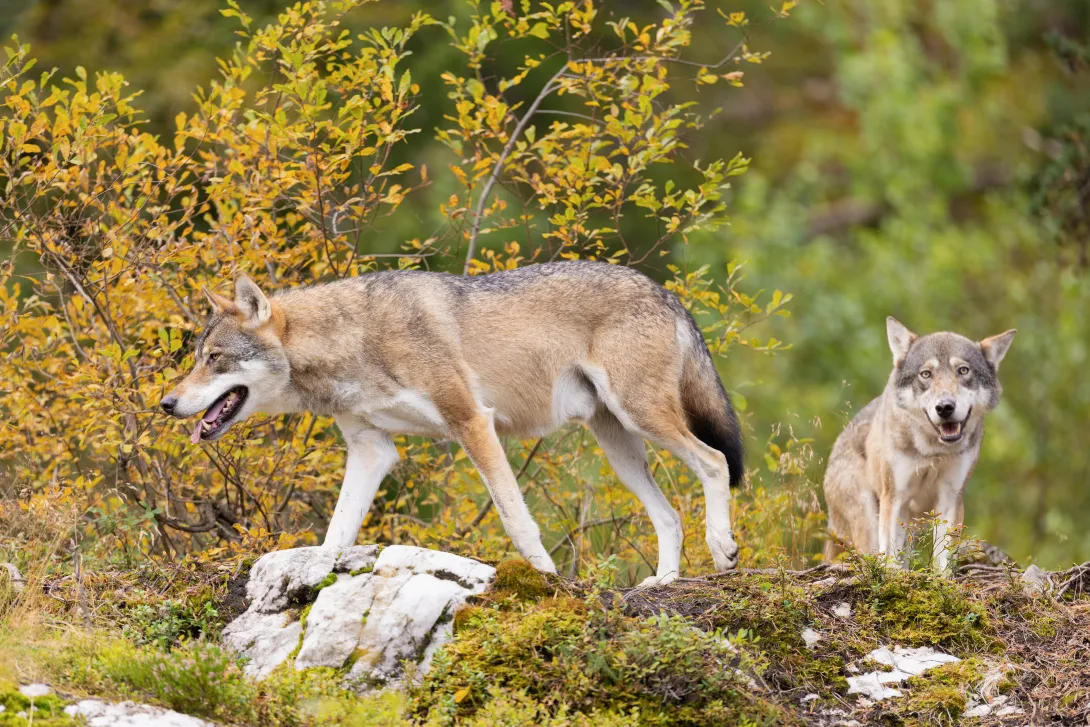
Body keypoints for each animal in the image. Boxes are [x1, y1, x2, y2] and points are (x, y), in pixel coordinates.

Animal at [159, 261, 744, 586]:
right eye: (196, 358)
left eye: (214, 359)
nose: (166, 403)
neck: (353, 340)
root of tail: (665, 291)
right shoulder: (371, 449)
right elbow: (336, 532)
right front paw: (309, 576)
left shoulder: (472, 422)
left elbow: (516, 520)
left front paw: (546, 580)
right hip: (620, 447)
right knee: (669, 515)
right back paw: (662, 583)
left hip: (641, 419)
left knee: (715, 461)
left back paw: (722, 550)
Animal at [822, 317, 1015, 572]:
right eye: (926, 374)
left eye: (963, 370)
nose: (945, 407)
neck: (933, 452)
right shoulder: (894, 497)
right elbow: (889, 558)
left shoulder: (950, 498)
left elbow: (942, 558)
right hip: (870, 518)